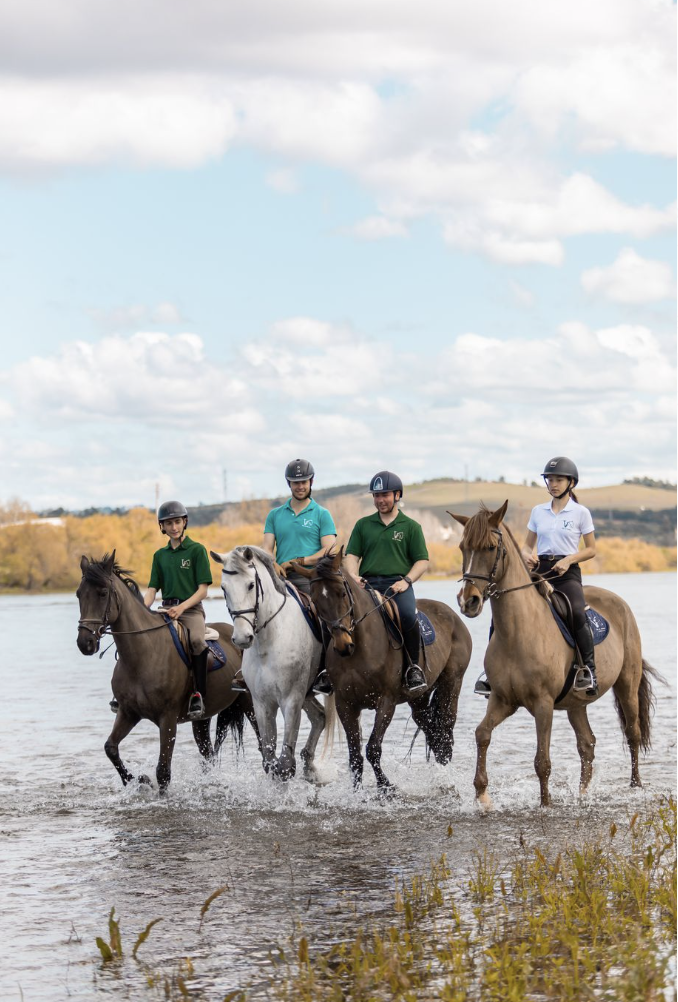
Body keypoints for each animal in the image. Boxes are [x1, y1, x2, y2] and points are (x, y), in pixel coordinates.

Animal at [76, 552, 252, 792]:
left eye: (103, 593)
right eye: (78, 594)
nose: (85, 643)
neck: (142, 655)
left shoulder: (167, 719)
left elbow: (163, 772)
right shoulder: (128, 712)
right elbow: (110, 748)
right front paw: (138, 780)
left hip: (250, 705)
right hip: (202, 718)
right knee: (207, 753)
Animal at [210, 545, 330, 782]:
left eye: (250, 585)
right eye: (223, 588)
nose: (242, 638)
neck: (269, 640)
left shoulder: (291, 700)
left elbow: (285, 764)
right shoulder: (262, 703)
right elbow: (269, 761)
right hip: (306, 693)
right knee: (320, 716)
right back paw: (310, 767)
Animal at [295, 548, 473, 793]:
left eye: (342, 593)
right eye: (314, 600)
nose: (342, 645)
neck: (360, 648)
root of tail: (452, 614)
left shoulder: (386, 702)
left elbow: (373, 748)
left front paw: (386, 788)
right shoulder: (345, 704)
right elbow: (355, 755)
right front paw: (357, 792)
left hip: (451, 684)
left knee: (445, 732)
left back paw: (445, 779)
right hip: (419, 697)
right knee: (433, 732)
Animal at [451, 501, 663, 807]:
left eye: (490, 548)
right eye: (462, 547)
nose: (468, 601)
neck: (518, 631)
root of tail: (618, 602)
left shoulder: (543, 704)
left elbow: (542, 760)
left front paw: (545, 803)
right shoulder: (502, 700)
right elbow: (482, 734)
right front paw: (482, 794)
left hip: (627, 684)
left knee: (632, 733)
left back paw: (635, 786)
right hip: (576, 703)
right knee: (587, 743)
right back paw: (583, 793)